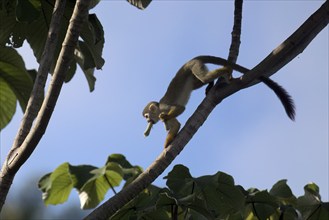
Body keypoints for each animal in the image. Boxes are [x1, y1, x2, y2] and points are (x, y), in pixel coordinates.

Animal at [142, 55, 294, 148]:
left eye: (147, 116)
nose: (148, 121)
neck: (159, 108)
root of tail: (190, 60)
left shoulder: (164, 107)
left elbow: (179, 109)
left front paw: (165, 123)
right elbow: (175, 125)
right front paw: (167, 144)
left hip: (194, 66)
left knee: (203, 77)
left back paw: (226, 70)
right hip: (193, 70)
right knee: (199, 82)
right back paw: (212, 83)